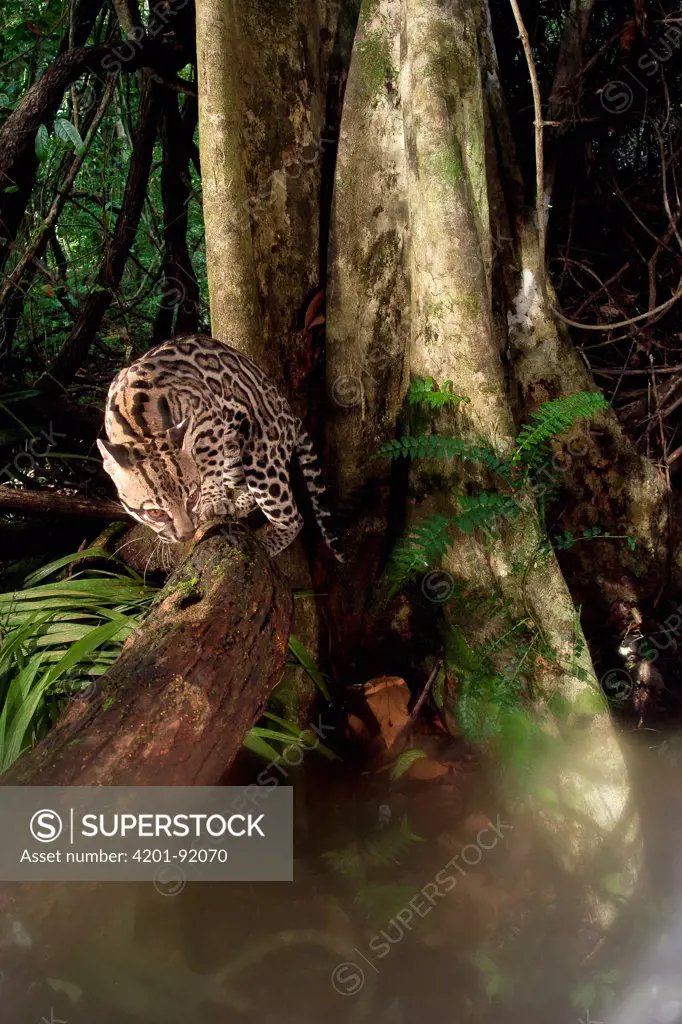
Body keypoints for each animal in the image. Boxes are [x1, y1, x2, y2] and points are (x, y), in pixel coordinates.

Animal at [98, 333, 339, 561]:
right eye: (155, 513)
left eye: (192, 498)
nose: (186, 535)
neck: (140, 428)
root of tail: (289, 413)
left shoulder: (210, 418)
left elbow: (209, 464)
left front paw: (212, 500)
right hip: (233, 459)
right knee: (245, 487)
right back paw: (238, 505)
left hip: (262, 460)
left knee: (294, 519)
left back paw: (267, 545)